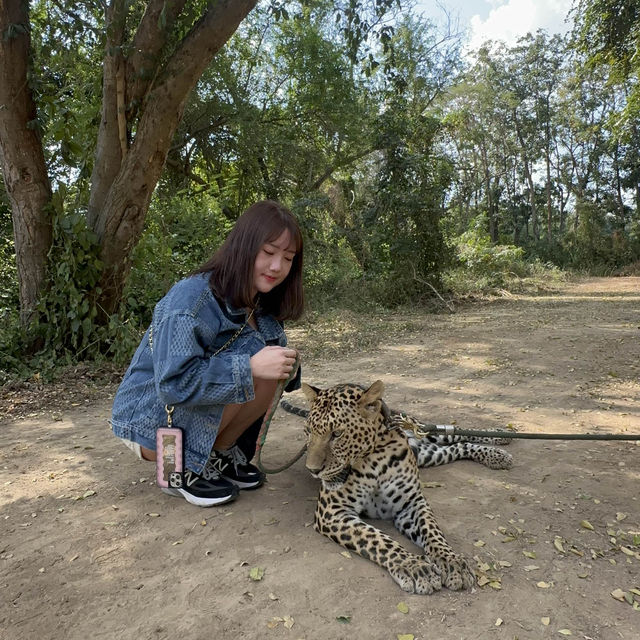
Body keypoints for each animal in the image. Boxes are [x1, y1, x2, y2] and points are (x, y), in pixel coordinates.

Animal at [284, 380, 516, 596]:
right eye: (307, 432)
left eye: (337, 434)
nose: (312, 470)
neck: (374, 458)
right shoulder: (332, 512)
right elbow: (377, 539)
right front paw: (415, 567)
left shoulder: (410, 502)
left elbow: (431, 530)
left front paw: (451, 561)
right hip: (429, 454)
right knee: (457, 447)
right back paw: (496, 455)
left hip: (426, 432)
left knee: (454, 433)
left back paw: (499, 438)